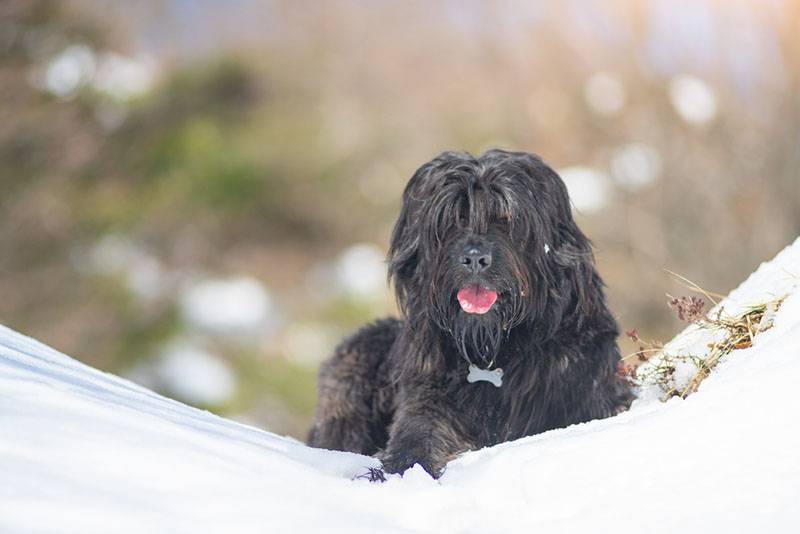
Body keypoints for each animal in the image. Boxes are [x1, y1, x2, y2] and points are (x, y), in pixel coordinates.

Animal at [310, 149, 636, 480]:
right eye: (453, 218)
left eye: (507, 218)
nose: (475, 259)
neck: (493, 352)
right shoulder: (426, 395)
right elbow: (417, 436)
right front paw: (397, 469)